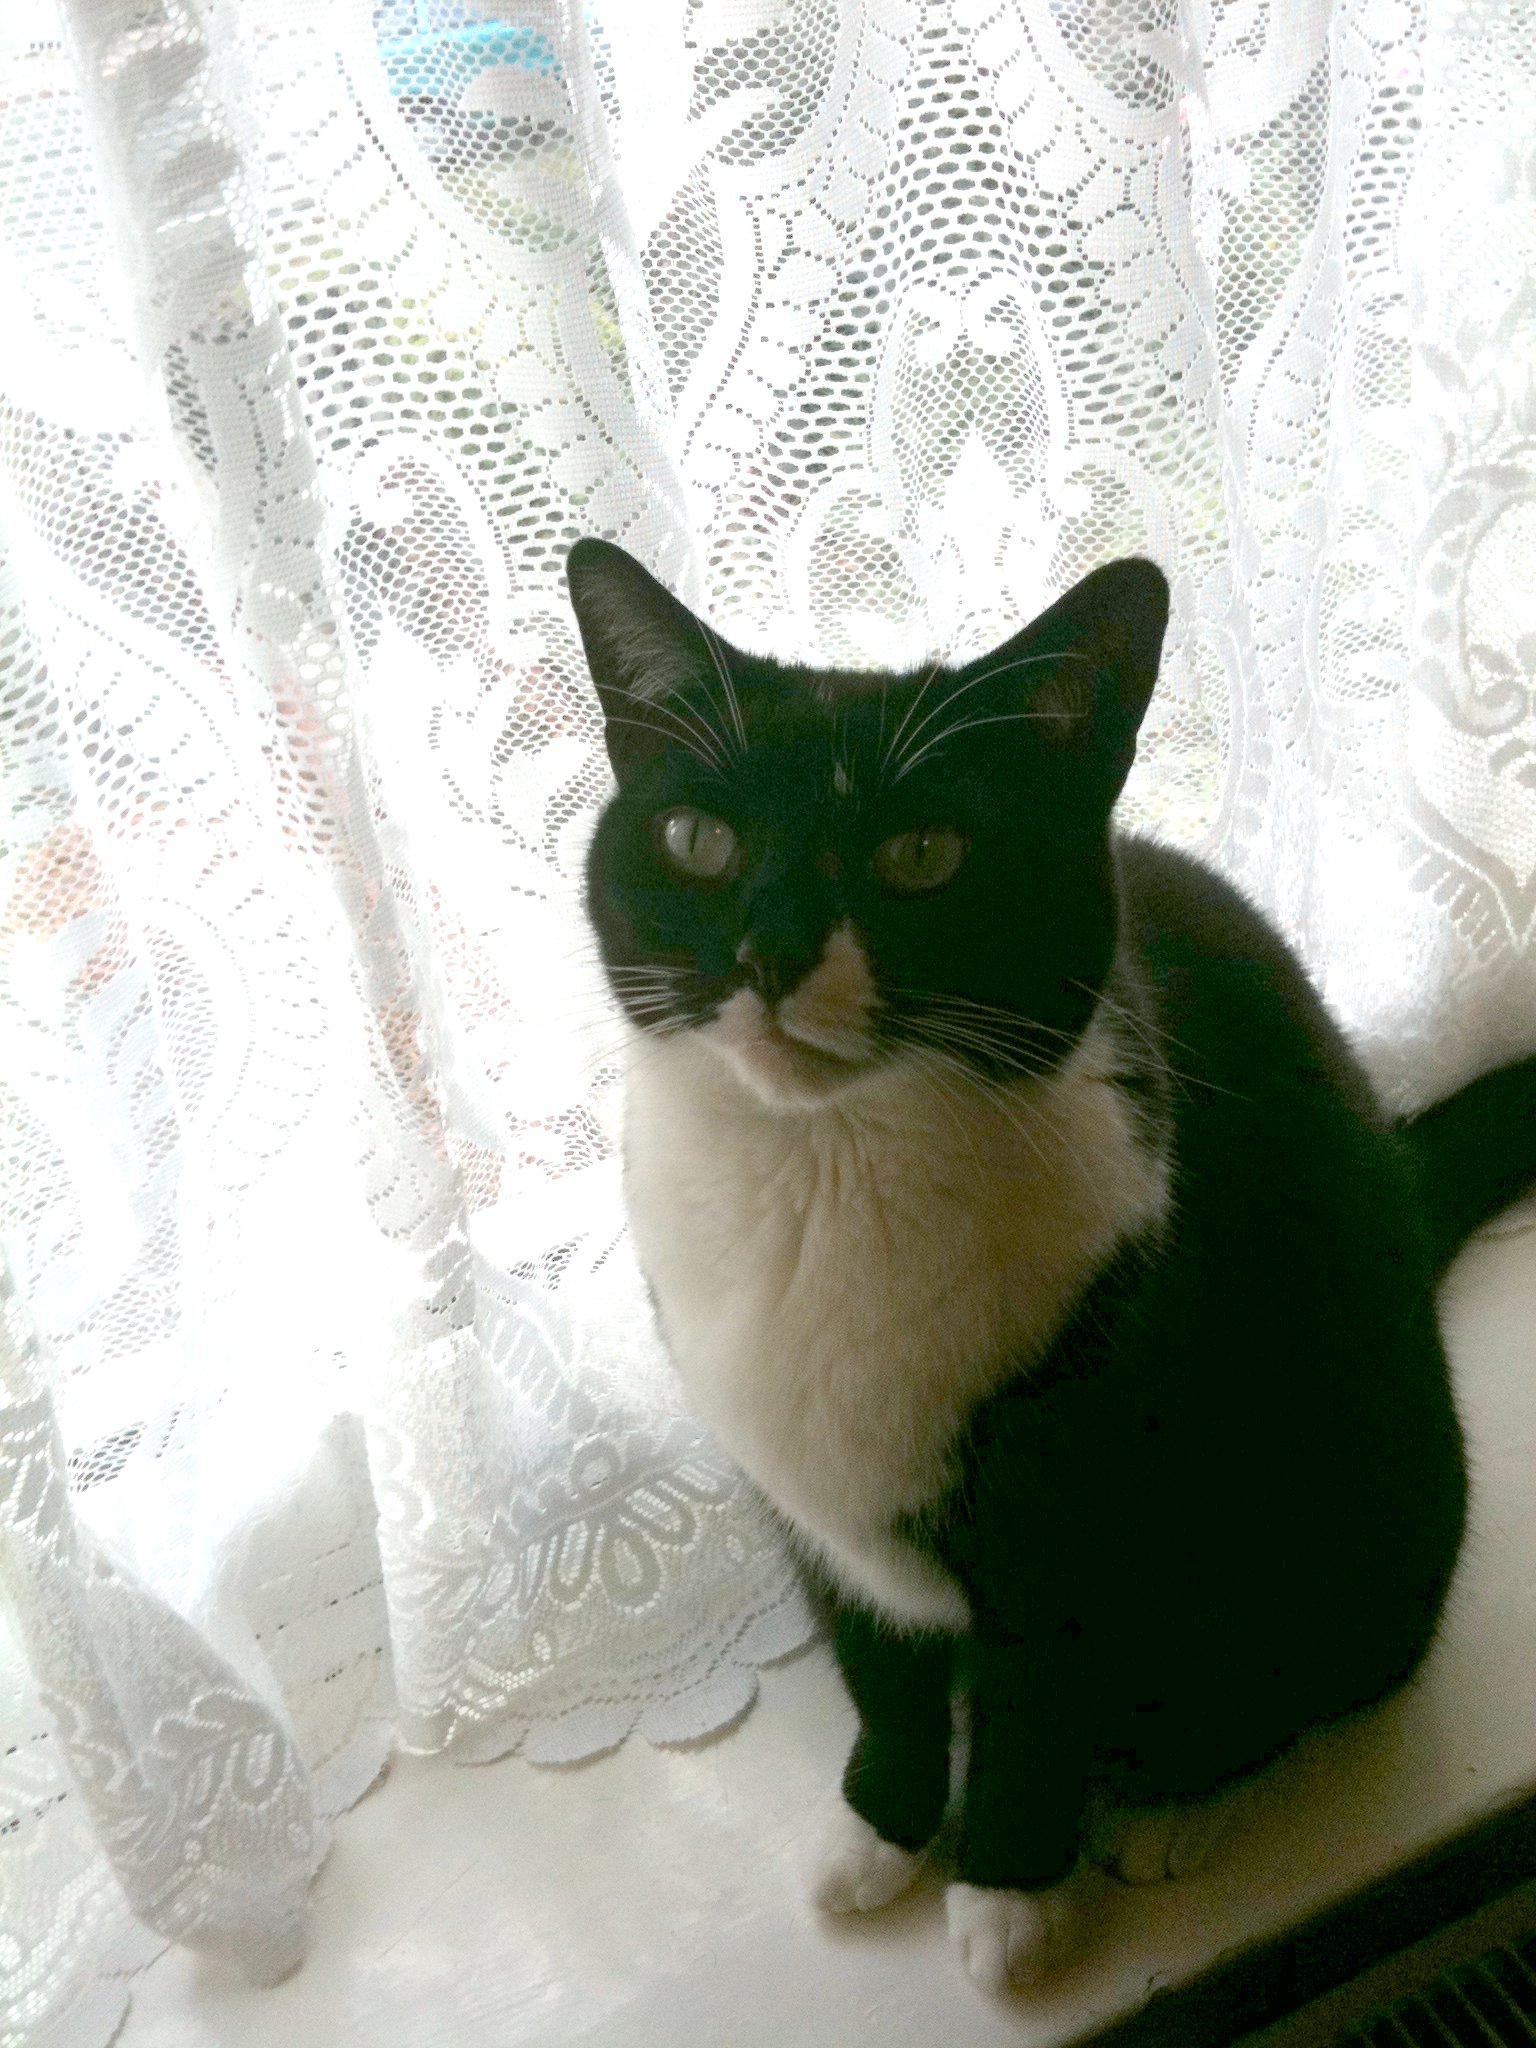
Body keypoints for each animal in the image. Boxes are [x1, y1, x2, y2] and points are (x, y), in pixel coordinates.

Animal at [565, 536, 1536, 1990]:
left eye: (921, 852)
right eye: (698, 839)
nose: (773, 950)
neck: (824, 1174)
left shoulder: (1092, 1477)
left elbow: (1039, 1691)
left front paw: (1009, 1886)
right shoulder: (804, 1501)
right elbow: (880, 1659)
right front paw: (881, 1822)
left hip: (1362, 1482)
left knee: (1326, 1660)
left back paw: (1175, 1804)